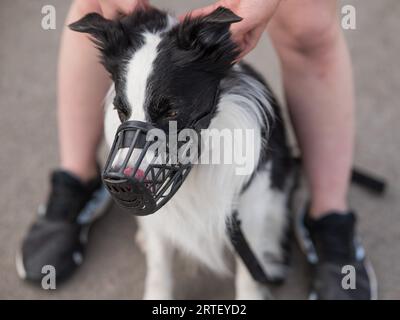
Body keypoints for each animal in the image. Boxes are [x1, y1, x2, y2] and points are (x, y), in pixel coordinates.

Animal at [69, 6, 294, 298]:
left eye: (172, 111)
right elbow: (158, 271)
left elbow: (248, 276)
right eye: (121, 111)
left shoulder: (250, 211)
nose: (120, 183)